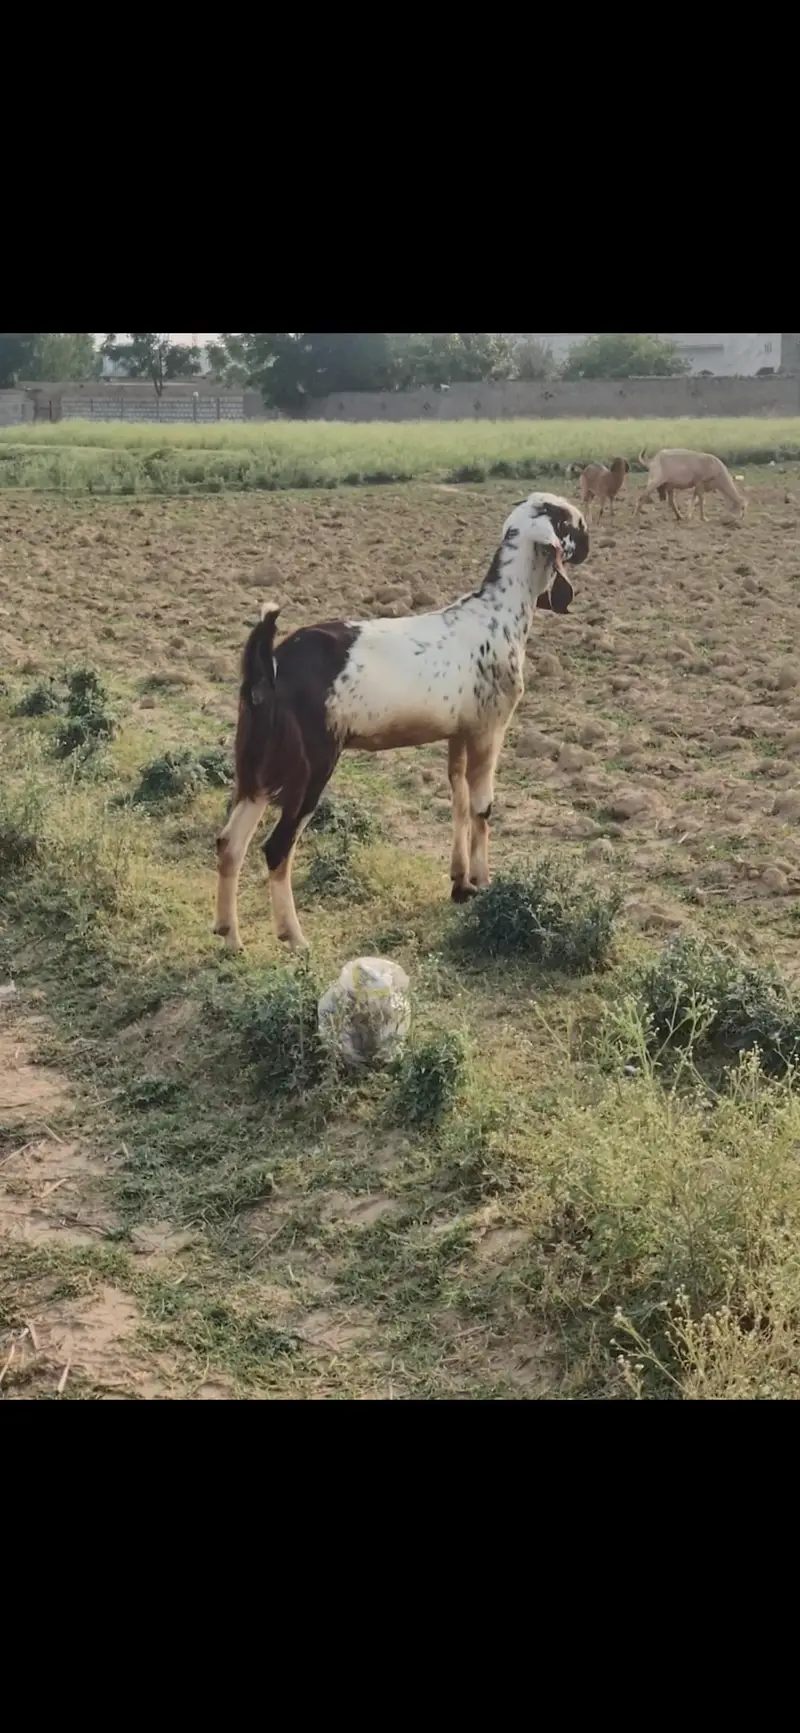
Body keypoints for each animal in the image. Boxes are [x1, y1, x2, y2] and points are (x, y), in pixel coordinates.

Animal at [214, 492, 589, 952]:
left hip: (257, 767)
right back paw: (294, 936)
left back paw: (230, 937)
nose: (588, 545)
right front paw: (483, 883)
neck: (496, 614)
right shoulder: (490, 728)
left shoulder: (458, 733)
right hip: (309, 768)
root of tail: (269, 667)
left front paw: (460, 883)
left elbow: (459, 801)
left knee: (230, 842)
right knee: (275, 848)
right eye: (571, 520)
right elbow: (482, 806)